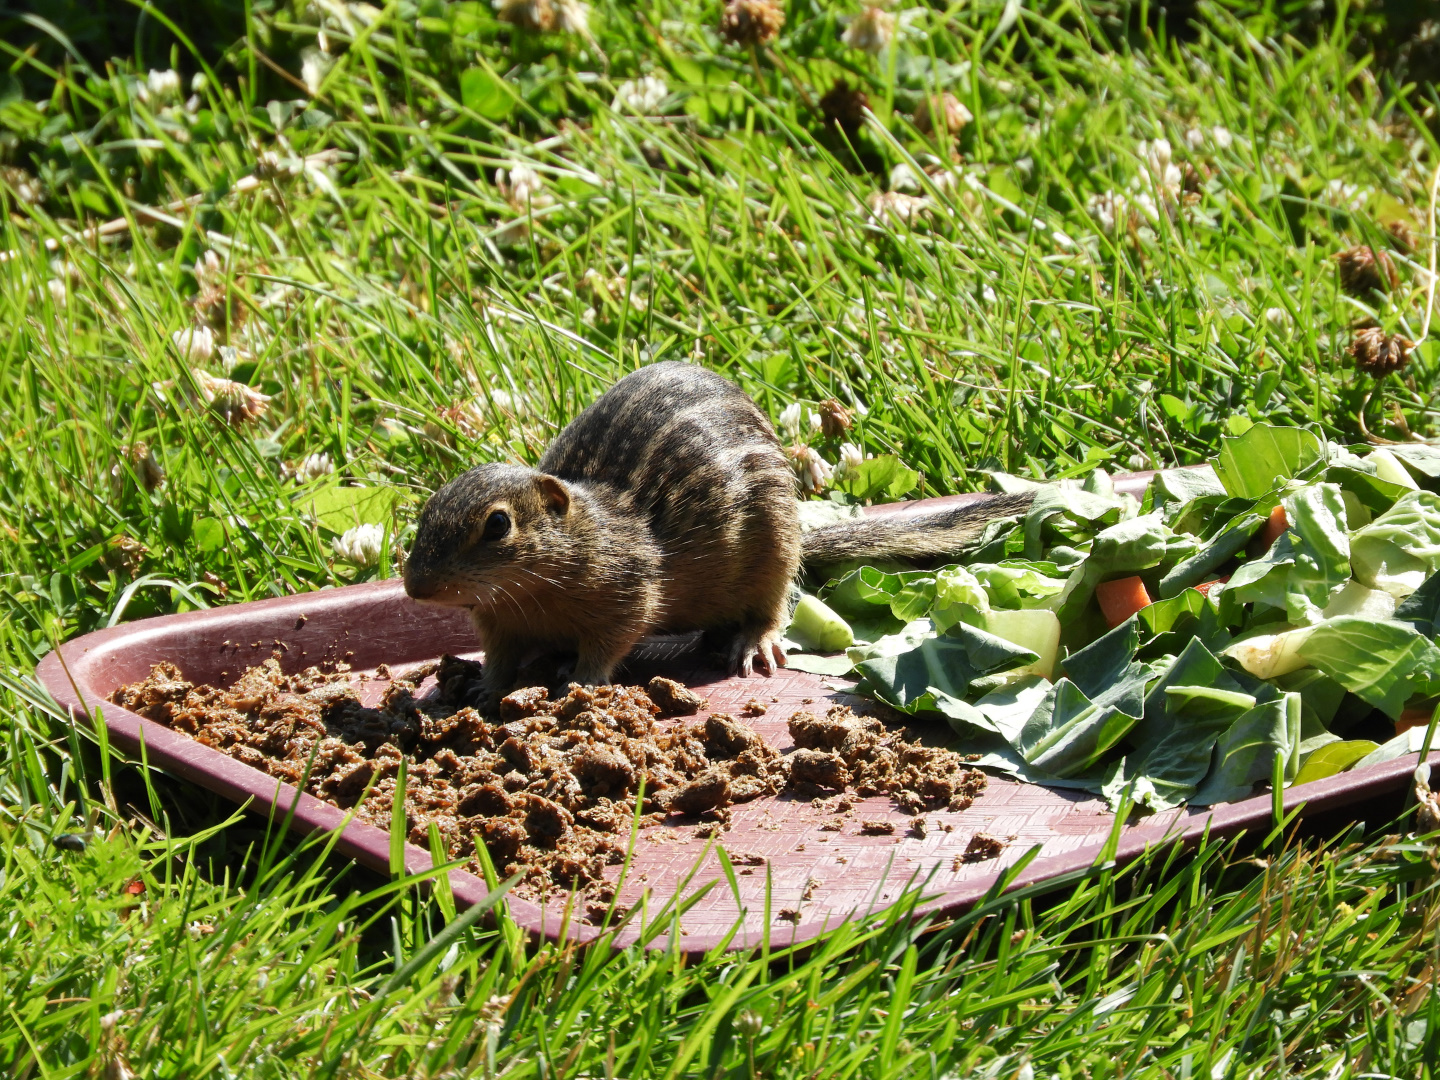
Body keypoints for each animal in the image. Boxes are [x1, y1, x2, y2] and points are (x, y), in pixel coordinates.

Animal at [404, 362, 1031, 708]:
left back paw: (753, 641)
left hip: (775, 547)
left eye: (498, 524)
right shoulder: (500, 626)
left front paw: (581, 681)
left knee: (773, 606)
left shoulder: (628, 594)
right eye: (426, 510)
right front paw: (485, 689)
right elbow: (501, 659)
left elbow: (610, 641)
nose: (414, 589)